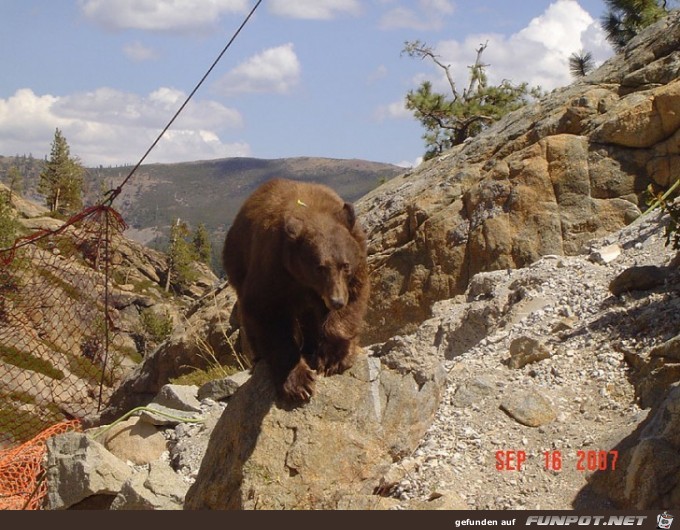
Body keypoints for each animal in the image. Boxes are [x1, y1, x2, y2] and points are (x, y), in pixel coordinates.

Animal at [223, 177, 370, 400]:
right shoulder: (273, 266)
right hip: (238, 263)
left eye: (345, 265)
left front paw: (333, 357)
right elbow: (267, 313)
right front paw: (298, 382)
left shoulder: (356, 257)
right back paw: (259, 358)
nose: (336, 301)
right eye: (320, 267)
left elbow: (352, 300)